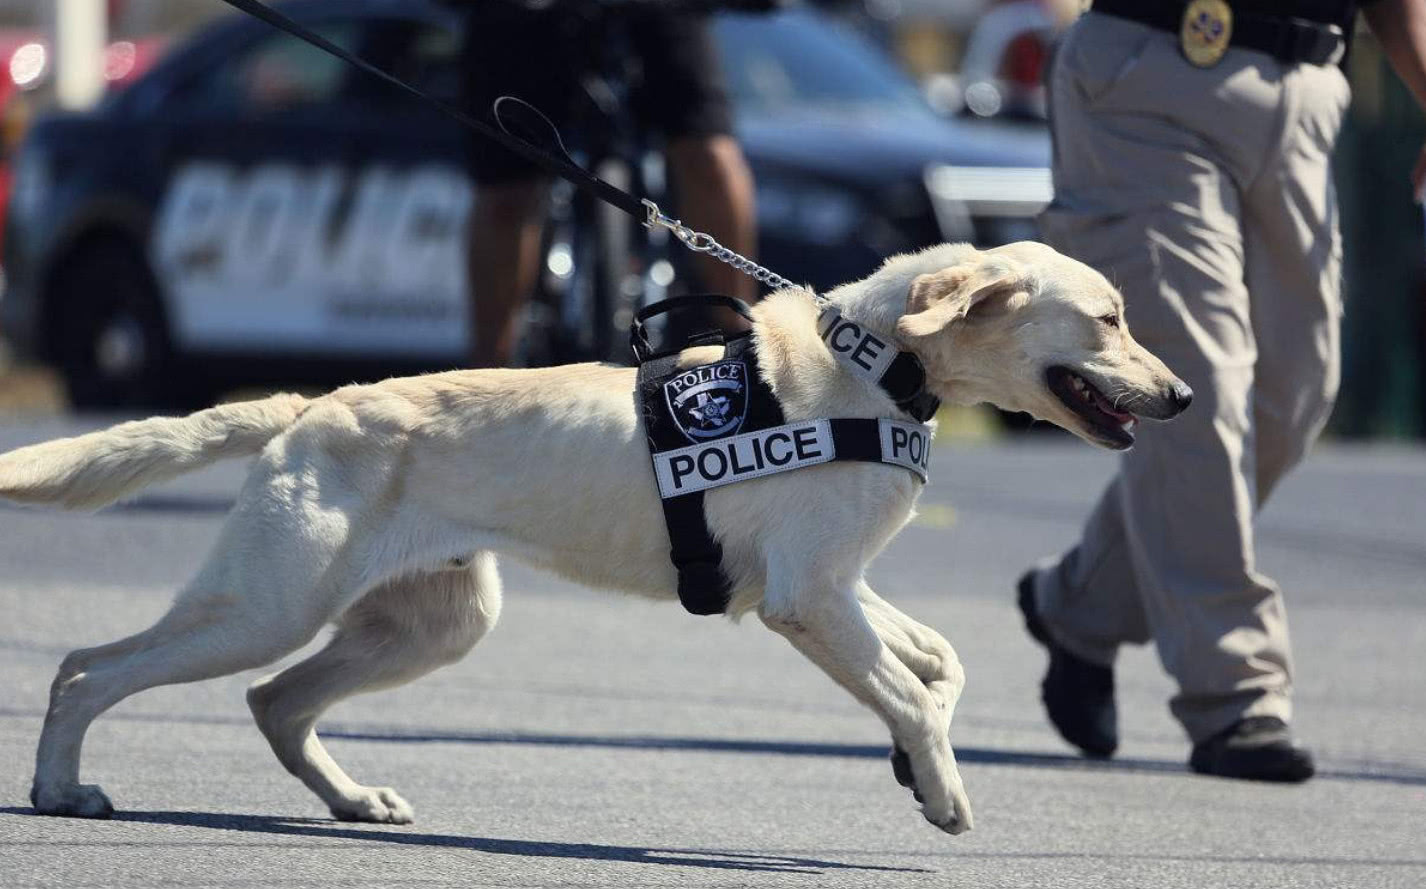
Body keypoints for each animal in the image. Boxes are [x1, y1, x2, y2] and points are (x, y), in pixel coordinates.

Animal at [0, 241, 1186, 833]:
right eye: (1112, 318)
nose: (1180, 397)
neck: (874, 364)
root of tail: (312, 403)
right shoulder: (808, 597)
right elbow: (911, 688)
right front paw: (939, 790)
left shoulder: (833, 585)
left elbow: (937, 664)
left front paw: (914, 757)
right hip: (266, 603)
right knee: (85, 668)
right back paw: (61, 789)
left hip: (432, 624)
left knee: (274, 701)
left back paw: (352, 799)